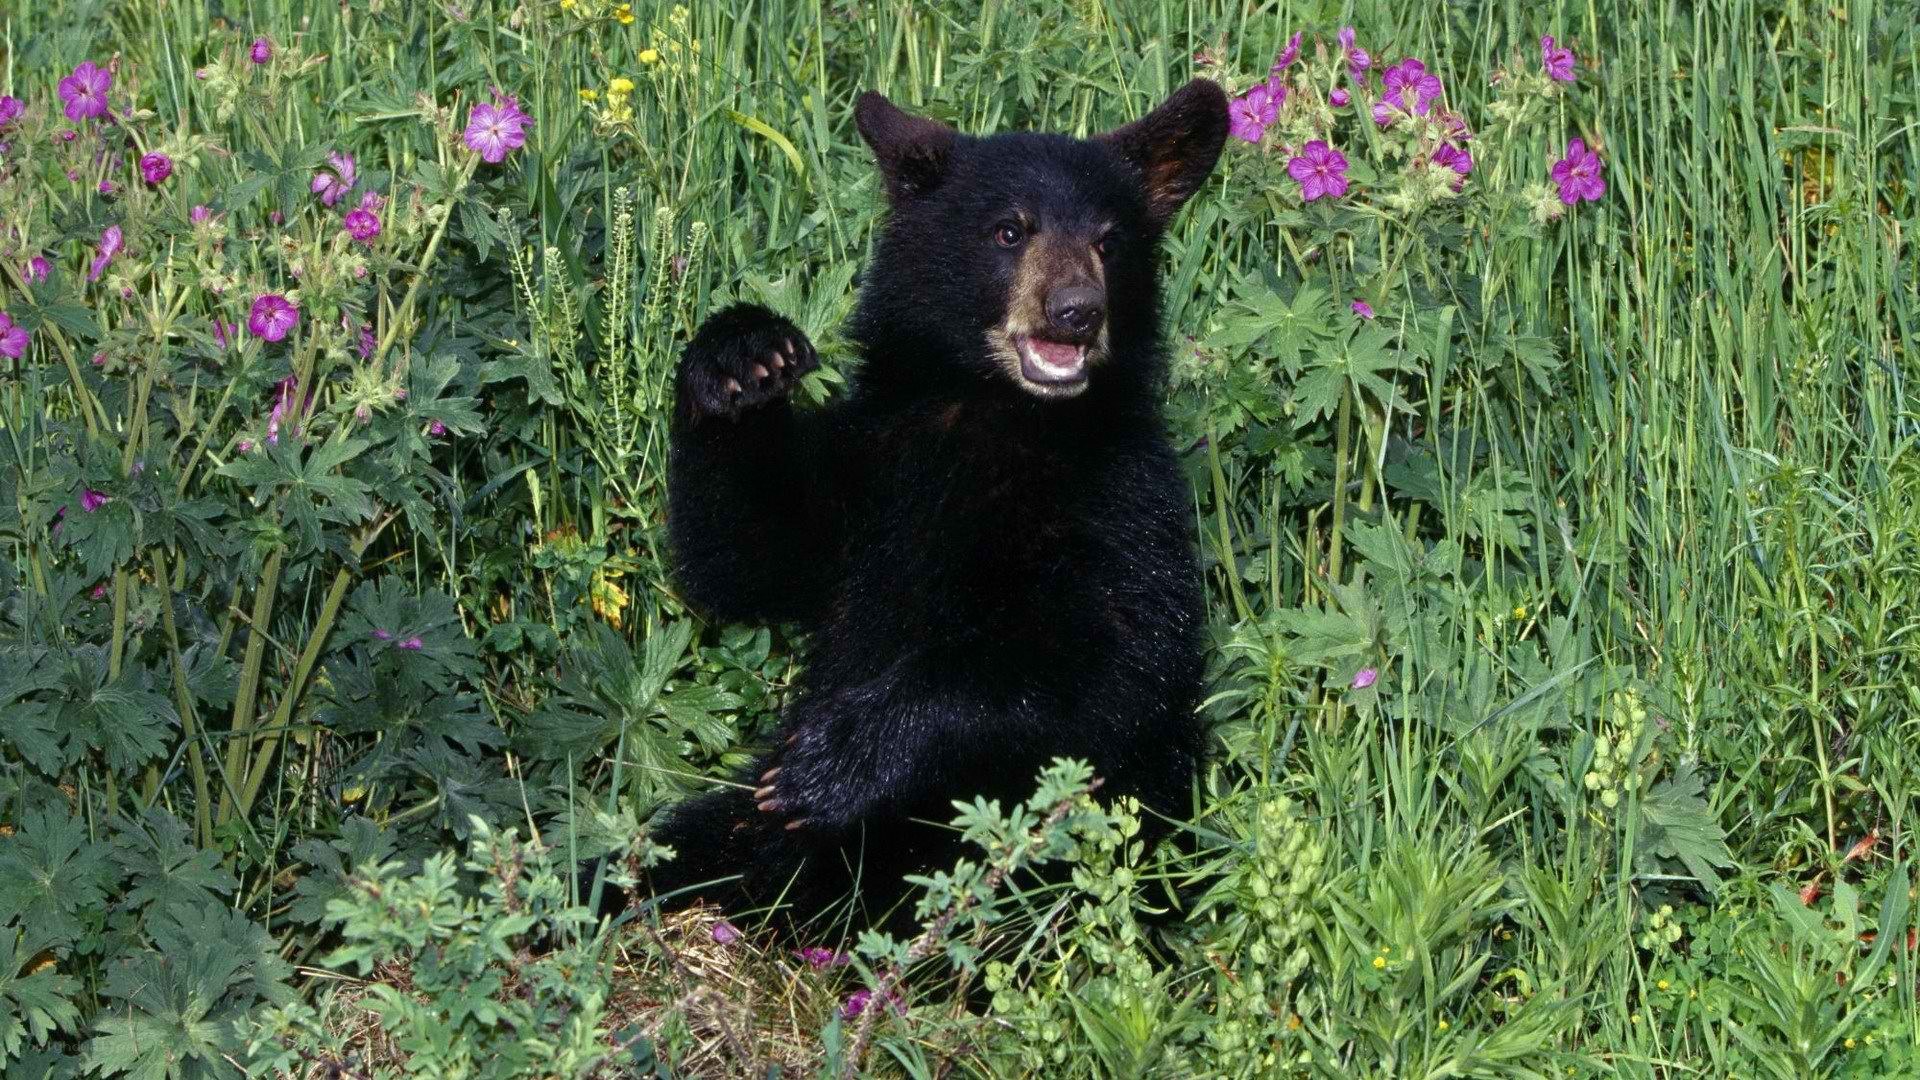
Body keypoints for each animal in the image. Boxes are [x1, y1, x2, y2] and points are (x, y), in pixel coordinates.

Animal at [640, 80, 1229, 936]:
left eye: (1110, 242)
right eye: (1009, 230)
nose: (1077, 311)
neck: (995, 415)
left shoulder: (1123, 502)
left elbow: (1109, 666)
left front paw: (834, 760)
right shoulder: (872, 468)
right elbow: (746, 553)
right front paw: (741, 357)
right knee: (681, 848)